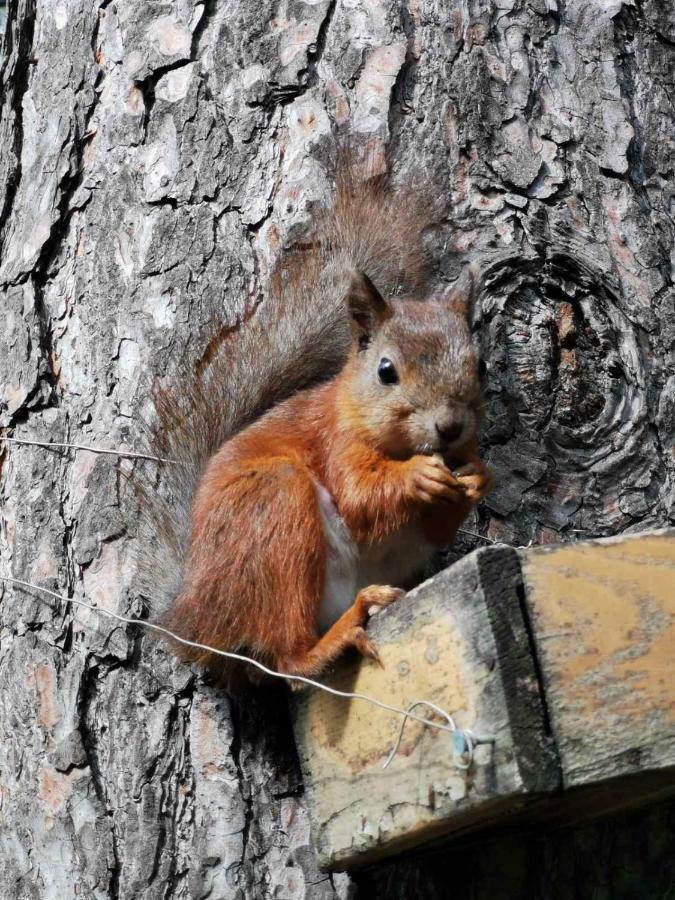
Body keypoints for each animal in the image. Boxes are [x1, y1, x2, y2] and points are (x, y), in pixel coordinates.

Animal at [141, 172, 492, 684]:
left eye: (480, 366)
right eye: (386, 371)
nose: (450, 427)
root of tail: (197, 619)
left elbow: (438, 526)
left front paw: (480, 476)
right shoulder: (333, 440)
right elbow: (358, 497)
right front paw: (417, 476)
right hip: (276, 509)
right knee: (288, 660)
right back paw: (338, 634)